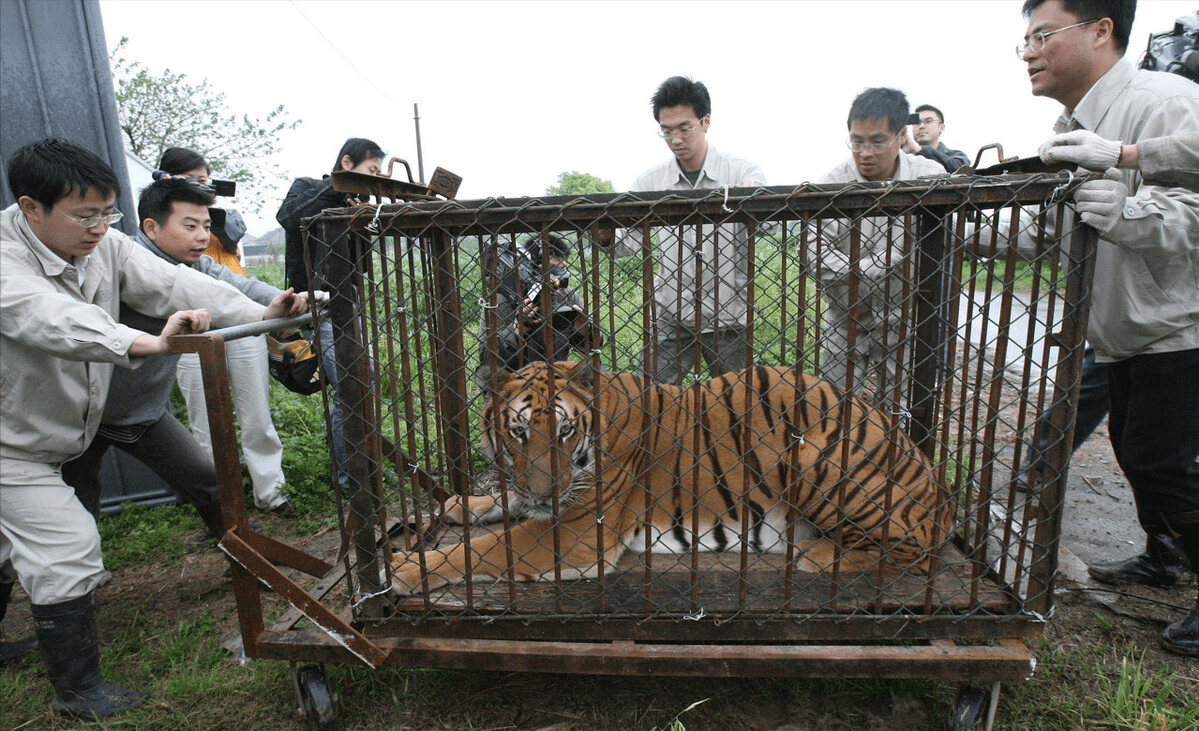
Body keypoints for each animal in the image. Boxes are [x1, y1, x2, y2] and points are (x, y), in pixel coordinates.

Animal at [388, 359, 949, 591]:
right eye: (520, 433)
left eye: (565, 432)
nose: (548, 492)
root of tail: (940, 487)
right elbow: (504, 503)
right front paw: (461, 505)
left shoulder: (578, 530)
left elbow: (489, 547)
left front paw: (406, 569)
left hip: (816, 460)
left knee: (916, 553)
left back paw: (815, 554)